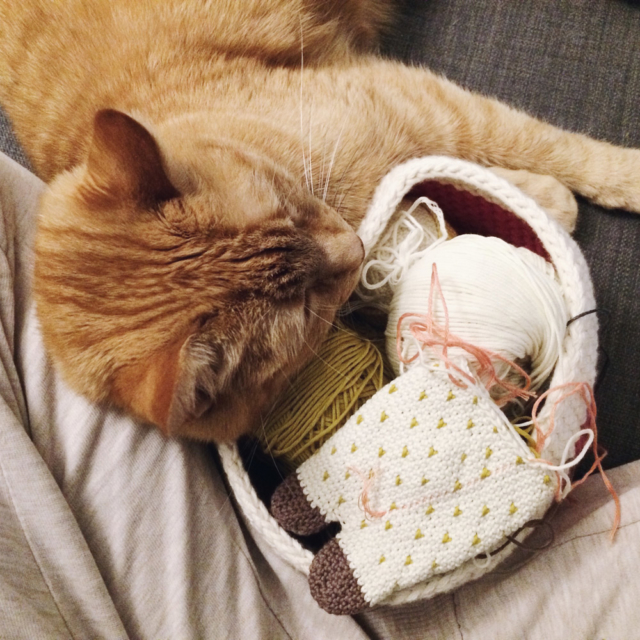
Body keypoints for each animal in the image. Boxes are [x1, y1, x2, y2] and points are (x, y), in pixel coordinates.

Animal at [1, 0, 640, 442]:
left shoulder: (418, 103)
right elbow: (469, 173)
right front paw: (546, 202)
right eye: (308, 309)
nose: (354, 247)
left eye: (289, 203)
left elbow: (540, 144)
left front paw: (614, 179)